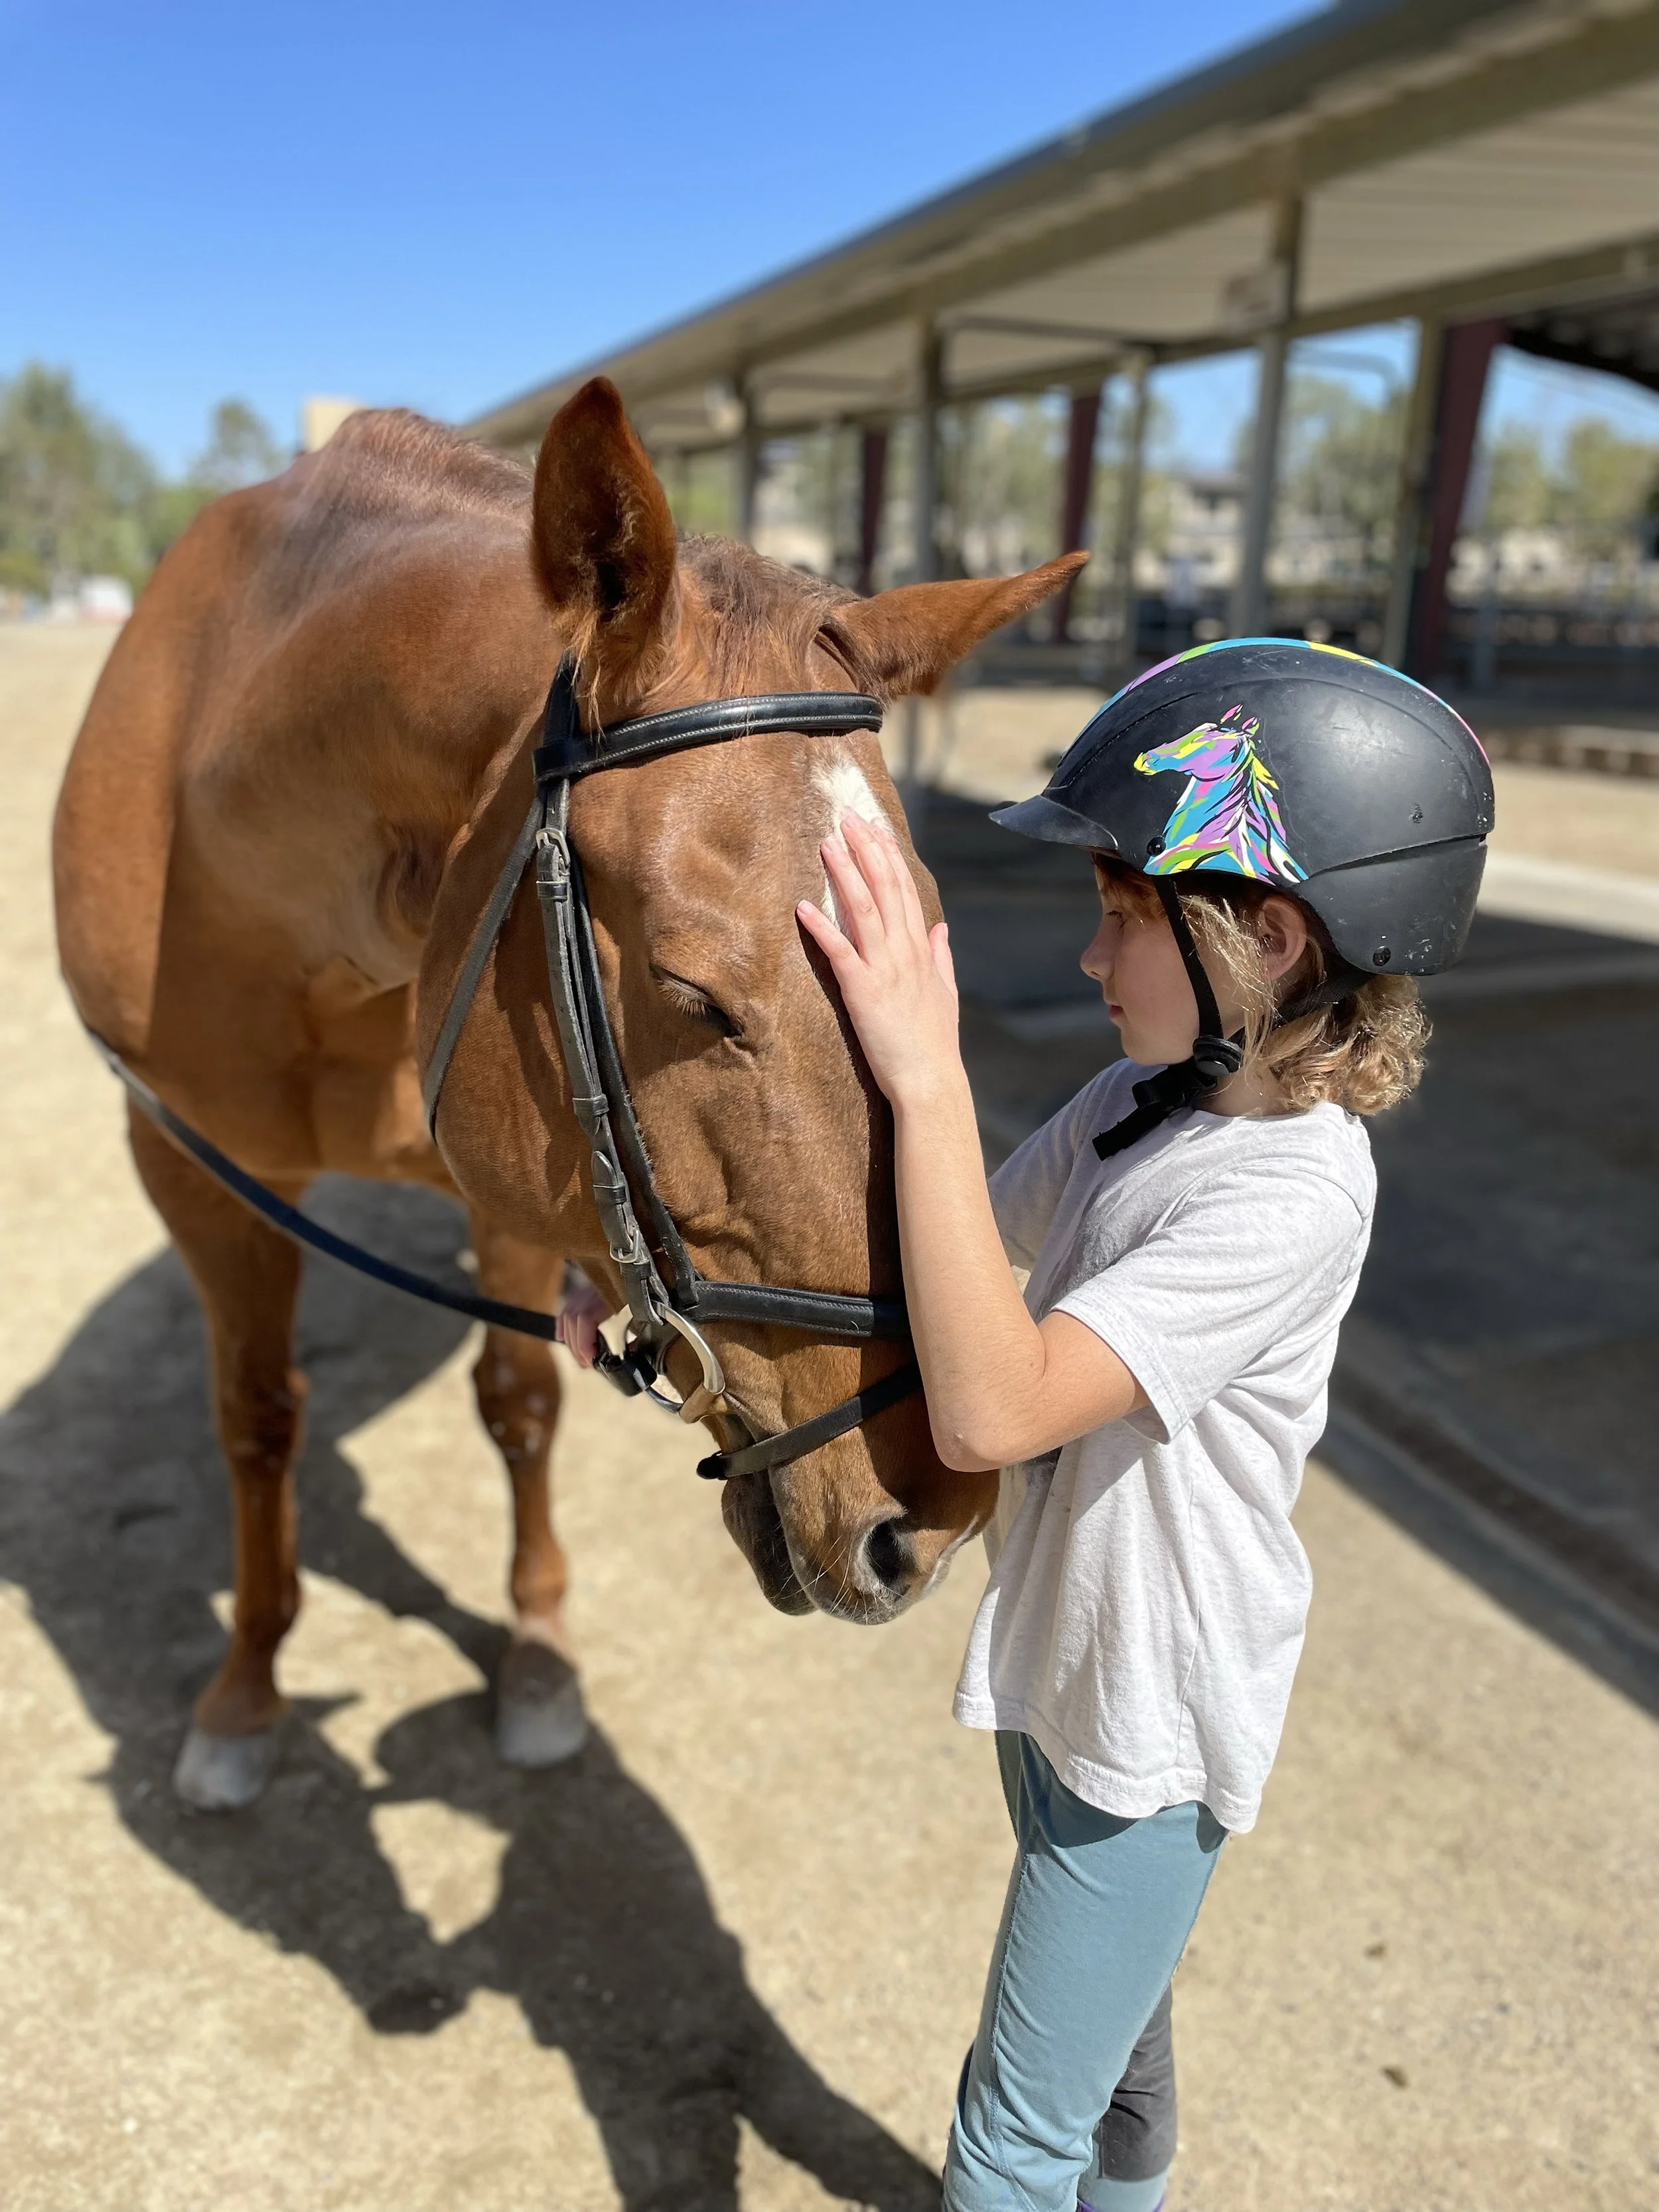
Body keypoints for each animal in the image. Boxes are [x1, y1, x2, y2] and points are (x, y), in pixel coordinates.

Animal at [53, 375, 1082, 1809]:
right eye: (693, 995)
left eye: (935, 944)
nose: (931, 1512)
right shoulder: (198, 1165)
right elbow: (257, 1417)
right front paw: (245, 1689)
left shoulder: (518, 1185)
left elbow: (520, 1402)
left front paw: (536, 1655)